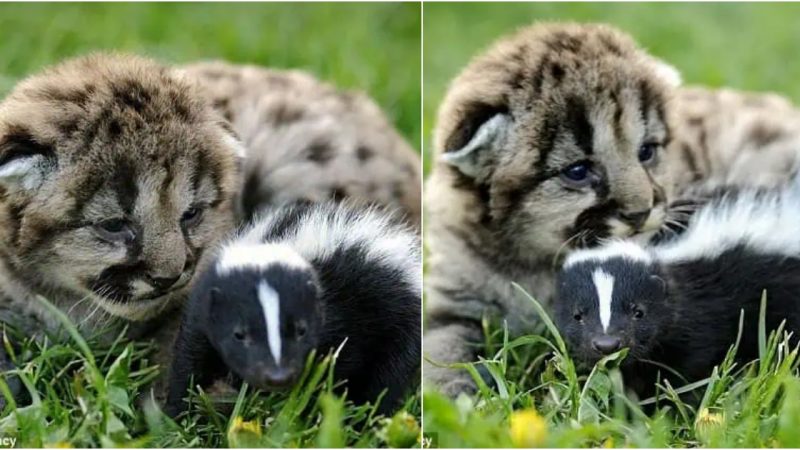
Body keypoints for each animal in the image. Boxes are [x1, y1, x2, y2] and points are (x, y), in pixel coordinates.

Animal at [166, 202, 422, 416]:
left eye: (300, 331)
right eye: (239, 334)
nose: (276, 376)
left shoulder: (345, 307)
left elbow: (337, 360)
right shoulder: (206, 306)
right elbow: (191, 355)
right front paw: (178, 412)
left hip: (402, 322)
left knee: (388, 377)